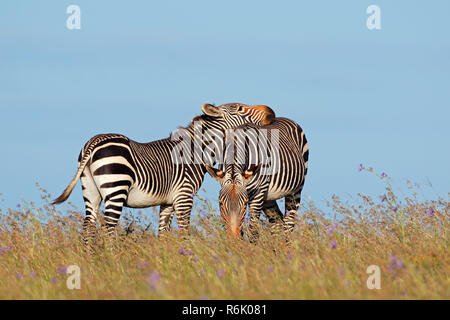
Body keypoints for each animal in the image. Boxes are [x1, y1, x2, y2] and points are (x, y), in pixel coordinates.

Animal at [51, 102, 276, 248]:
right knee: (108, 228)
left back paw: (91, 263)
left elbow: (164, 234)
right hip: (116, 188)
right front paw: (187, 262)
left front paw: (167, 261)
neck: (196, 151)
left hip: (90, 190)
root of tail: (94, 141)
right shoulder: (184, 195)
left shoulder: (167, 201)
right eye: (240, 108)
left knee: (88, 228)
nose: (271, 113)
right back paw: (114, 262)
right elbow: (184, 230)